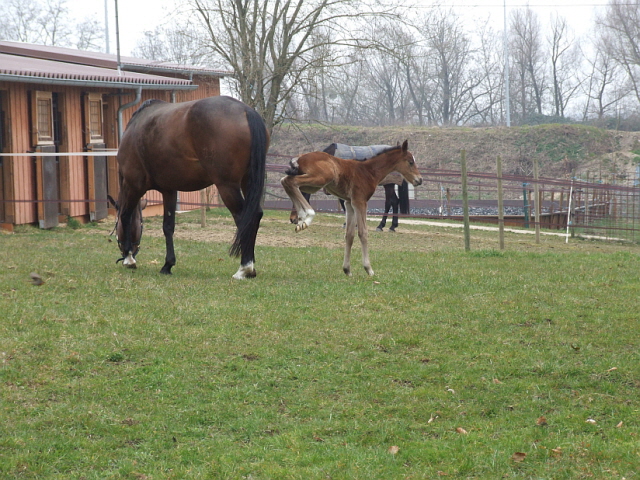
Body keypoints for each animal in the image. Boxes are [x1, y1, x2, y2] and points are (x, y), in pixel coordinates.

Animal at [109, 95, 268, 280]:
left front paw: (129, 260)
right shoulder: (169, 190)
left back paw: (244, 268)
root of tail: (245, 111)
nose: (124, 252)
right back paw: (251, 267)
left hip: (227, 185)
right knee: (255, 215)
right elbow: (168, 226)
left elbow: (126, 216)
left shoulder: (133, 185)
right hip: (247, 180)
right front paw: (168, 264)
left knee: (243, 217)